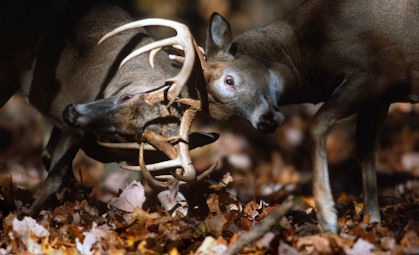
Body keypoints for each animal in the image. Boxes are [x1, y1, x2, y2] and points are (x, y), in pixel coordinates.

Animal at [0, 0, 217, 215]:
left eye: (128, 135)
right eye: (125, 97)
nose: (72, 112)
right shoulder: (73, 128)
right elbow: (54, 177)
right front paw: (26, 215)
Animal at [73, 0, 419, 233]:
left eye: (229, 79)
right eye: (220, 111)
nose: (266, 121)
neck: (313, 47)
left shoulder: (378, 70)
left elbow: (319, 123)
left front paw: (329, 218)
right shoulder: (383, 92)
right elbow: (366, 149)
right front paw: (373, 222)